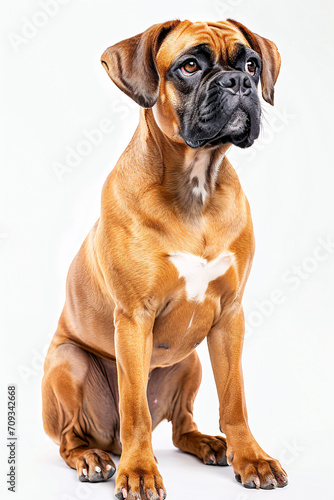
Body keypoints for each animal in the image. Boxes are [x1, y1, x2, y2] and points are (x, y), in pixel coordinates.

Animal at [41, 19, 288, 500]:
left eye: (252, 64)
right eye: (189, 66)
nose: (238, 82)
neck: (196, 182)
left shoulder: (229, 316)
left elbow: (235, 399)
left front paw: (250, 457)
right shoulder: (135, 318)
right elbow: (134, 407)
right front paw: (139, 472)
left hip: (189, 362)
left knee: (180, 427)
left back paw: (209, 443)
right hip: (68, 362)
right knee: (70, 438)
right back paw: (92, 458)